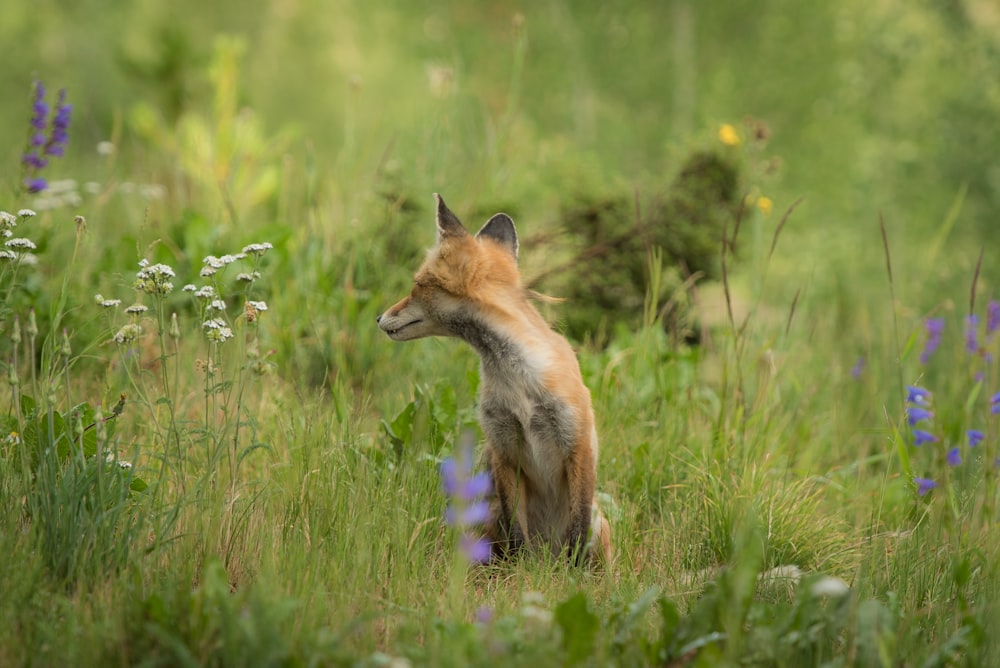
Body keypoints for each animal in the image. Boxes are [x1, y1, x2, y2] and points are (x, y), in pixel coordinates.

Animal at [376, 193, 608, 564]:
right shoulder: (504, 448)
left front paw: (575, 573)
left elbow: (577, 529)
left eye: (417, 285)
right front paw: (522, 569)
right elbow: (517, 532)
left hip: (601, 521)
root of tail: (549, 552)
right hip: (487, 513)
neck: (519, 383)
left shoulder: (577, 443)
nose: (378, 318)